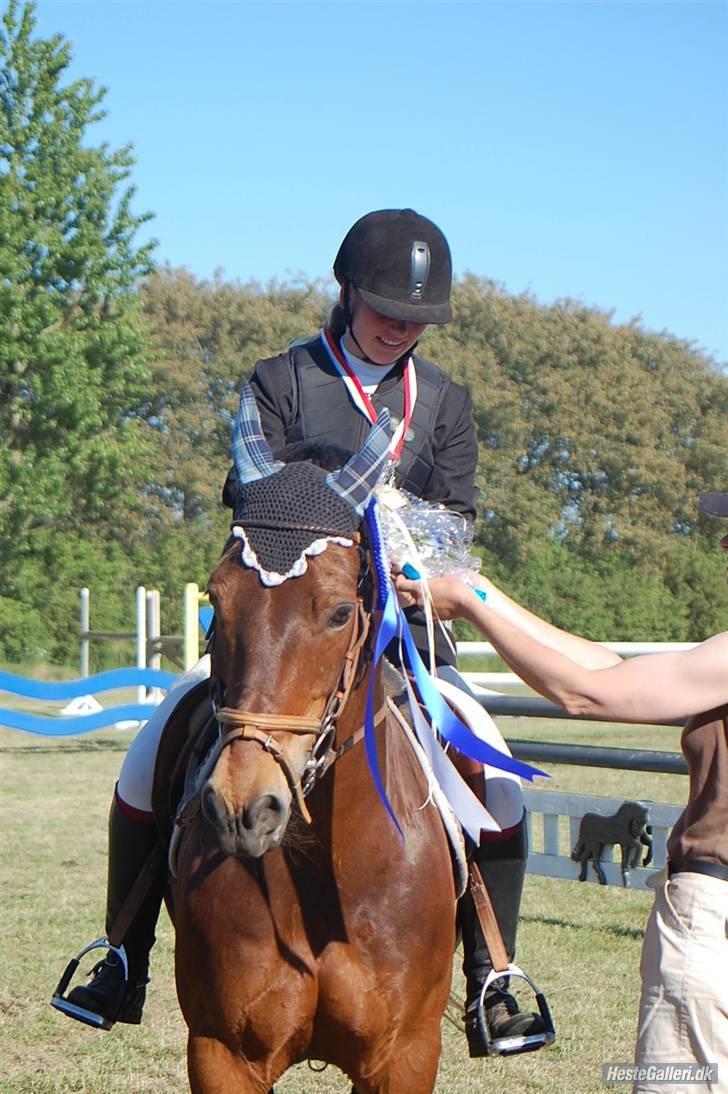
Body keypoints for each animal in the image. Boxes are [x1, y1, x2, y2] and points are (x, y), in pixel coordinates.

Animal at [152, 391, 459, 1093]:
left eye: (341, 612)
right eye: (216, 600)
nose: (243, 806)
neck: (322, 872)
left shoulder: (406, 1055)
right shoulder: (221, 1054)